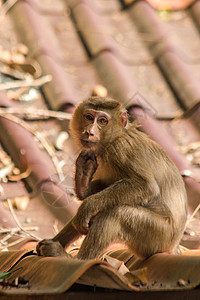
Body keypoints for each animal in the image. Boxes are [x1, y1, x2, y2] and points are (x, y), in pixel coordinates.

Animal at [37, 96, 188, 260]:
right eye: (89, 117)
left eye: (102, 121)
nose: (89, 132)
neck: (114, 138)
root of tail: (173, 246)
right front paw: (84, 179)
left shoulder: (120, 149)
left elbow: (145, 185)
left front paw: (87, 205)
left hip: (158, 236)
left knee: (116, 213)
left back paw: (76, 258)